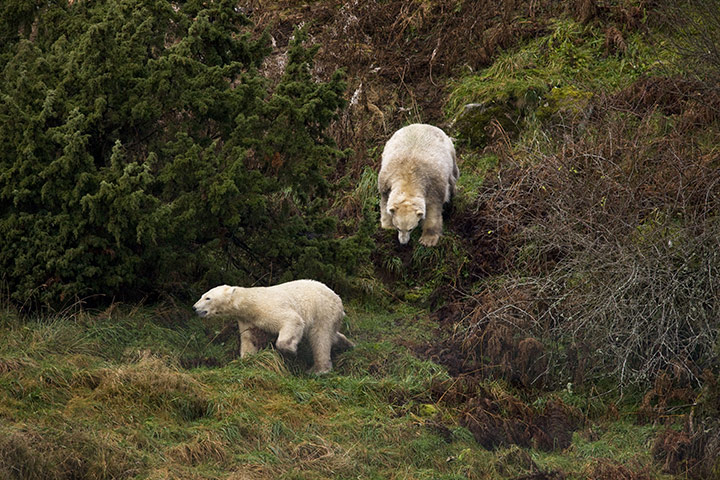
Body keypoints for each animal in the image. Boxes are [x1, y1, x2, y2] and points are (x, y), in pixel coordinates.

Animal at [193, 278, 352, 376]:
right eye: (202, 295)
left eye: (208, 298)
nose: (194, 308)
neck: (250, 303)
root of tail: (337, 298)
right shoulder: (247, 320)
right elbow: (249, 339)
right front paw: (247, 361)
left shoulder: (268, 308)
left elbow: (292, 320)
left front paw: (289, 350)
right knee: (331, 335)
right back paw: (347, 344)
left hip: (323, 311)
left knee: (320, 339)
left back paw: (318, 370)